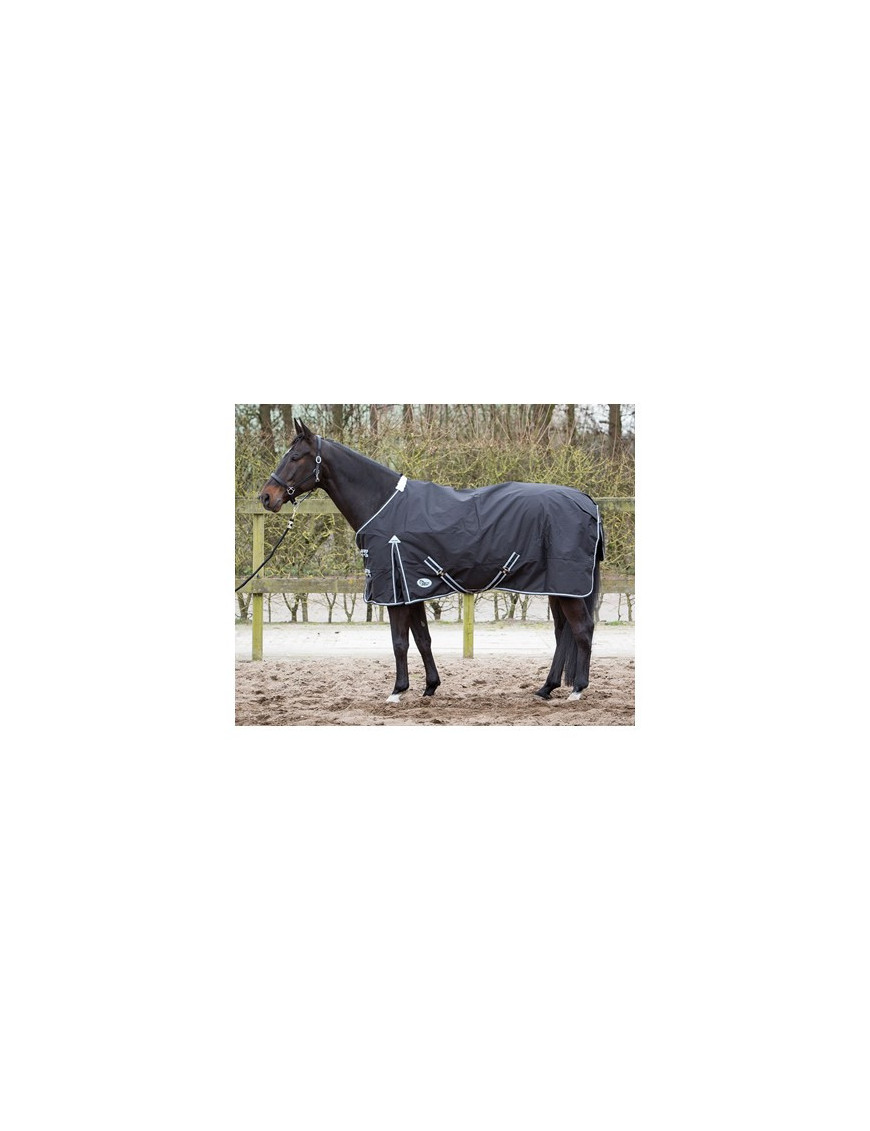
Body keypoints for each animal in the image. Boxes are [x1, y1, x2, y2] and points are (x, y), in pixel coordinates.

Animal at [259, 419, 605, 704]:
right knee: (562, 633)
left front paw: (397, 691)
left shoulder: (395, 591)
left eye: (295, 457)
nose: (266, 497)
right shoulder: (412, 588)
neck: (383, 505)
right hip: (558, 587)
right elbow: (422, 638)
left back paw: (577, 690)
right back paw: (546, 688)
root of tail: (586, 500)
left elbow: (400, 642)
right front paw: (429, 687)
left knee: (582, 630)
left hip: (567, 586)